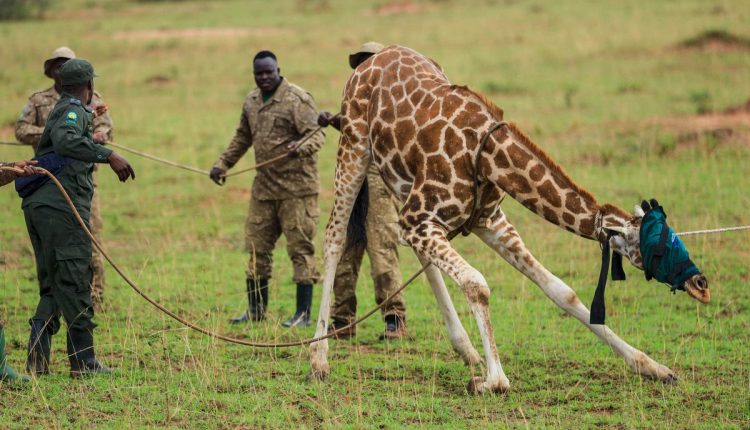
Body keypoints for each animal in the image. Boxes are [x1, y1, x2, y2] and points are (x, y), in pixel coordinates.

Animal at [310, 45, 710, 394]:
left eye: (674, 234)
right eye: (659, 247)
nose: (702, 285)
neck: (488, 155)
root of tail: (369, 59)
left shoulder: (489, 221)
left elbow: (561, 290)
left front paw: (654, 368)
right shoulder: (421, 218)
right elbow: (477, 283)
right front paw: (493, 380)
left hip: (399, 180)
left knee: (415, 251)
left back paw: (466, 349)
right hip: (354, 147)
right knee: (333, 238)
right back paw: (318, 357)